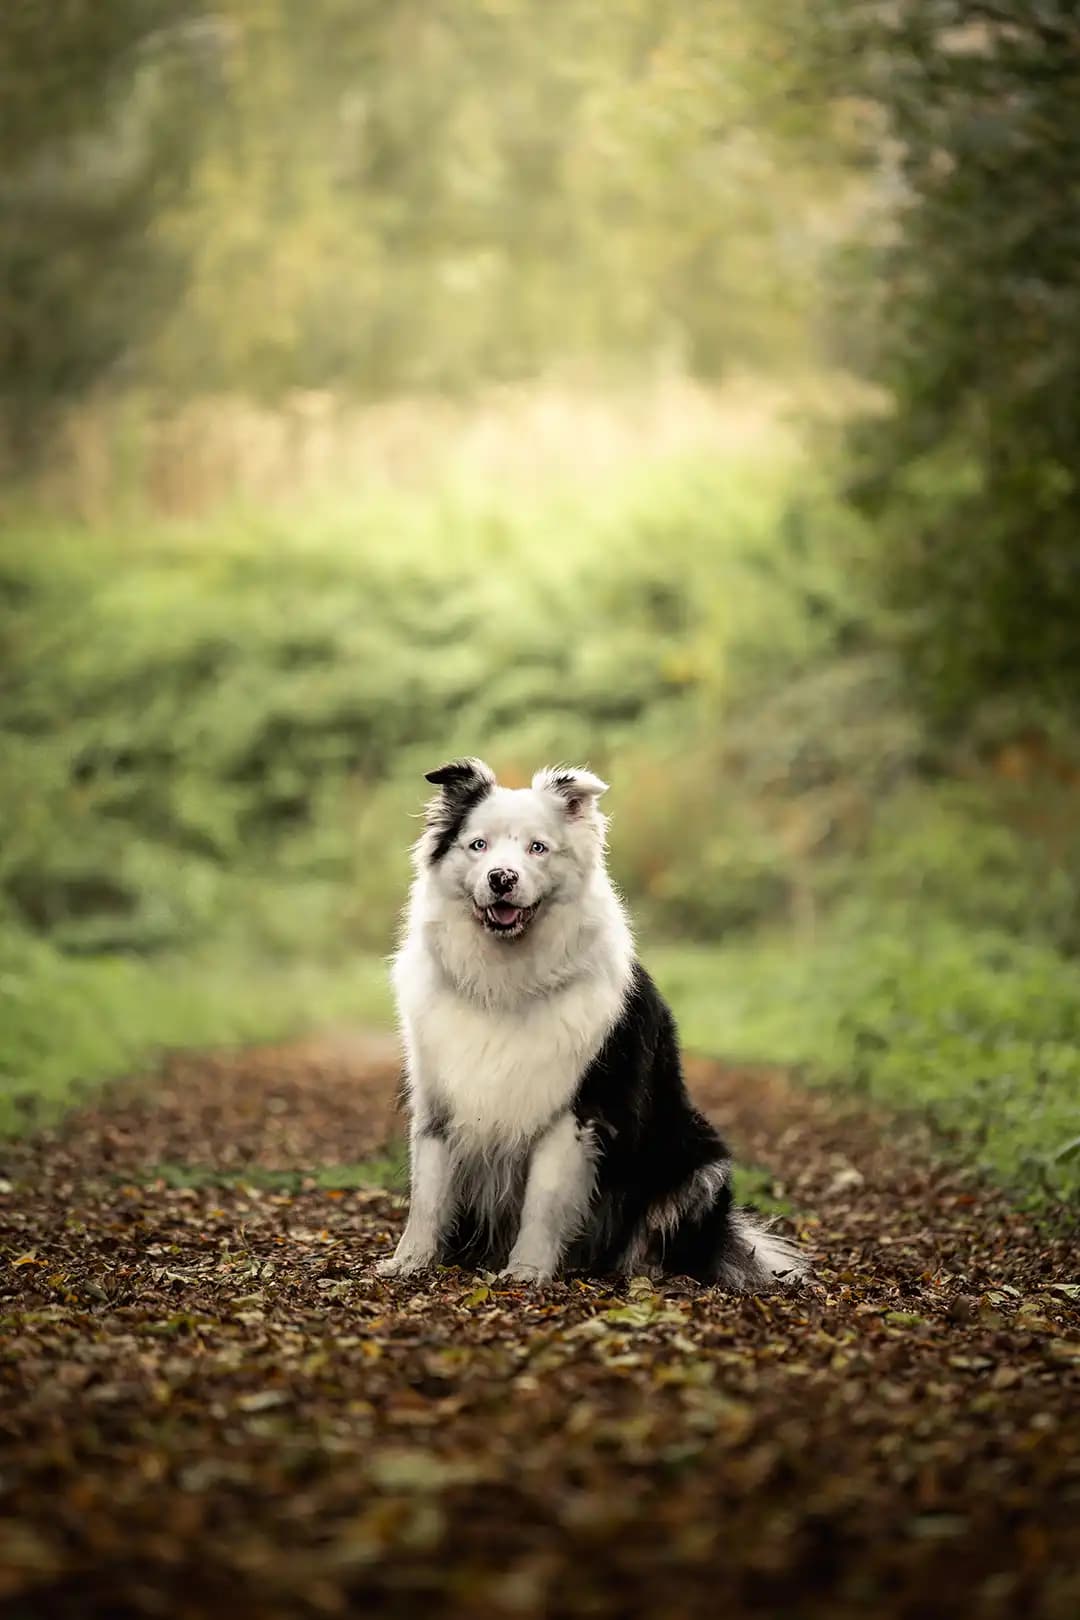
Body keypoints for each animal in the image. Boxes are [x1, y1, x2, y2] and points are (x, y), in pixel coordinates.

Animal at [375, 758, 806, 1289]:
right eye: (478, 845)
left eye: (537, 848)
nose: (502, 878)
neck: (506, 982)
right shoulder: (436, 1102)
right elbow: (428, 1195)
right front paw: (409, 1261)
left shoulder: (574, 1111)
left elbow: (542, 1203)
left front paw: (526, 1271)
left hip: (700, 1166)